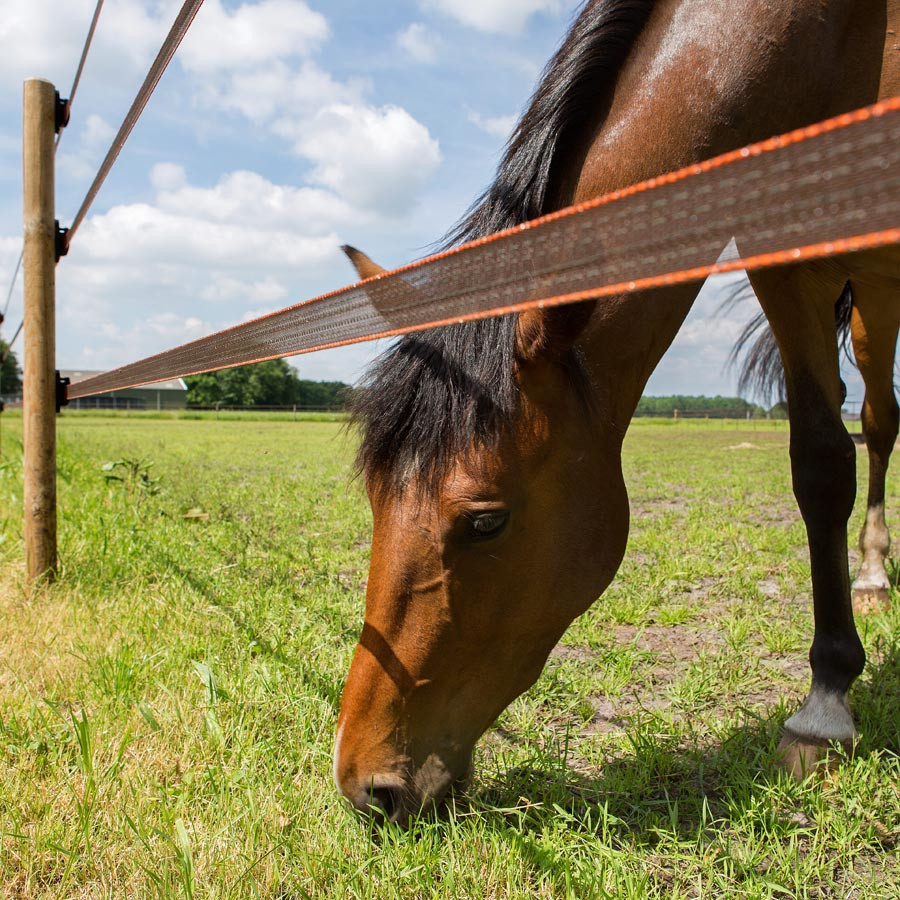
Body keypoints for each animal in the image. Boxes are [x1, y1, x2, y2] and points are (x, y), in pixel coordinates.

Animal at [333, 0, 900, 824]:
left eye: (486, 522)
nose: (365, 786)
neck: (827, 36)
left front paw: (825, 710)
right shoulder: (787, 263)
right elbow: (818, 463)